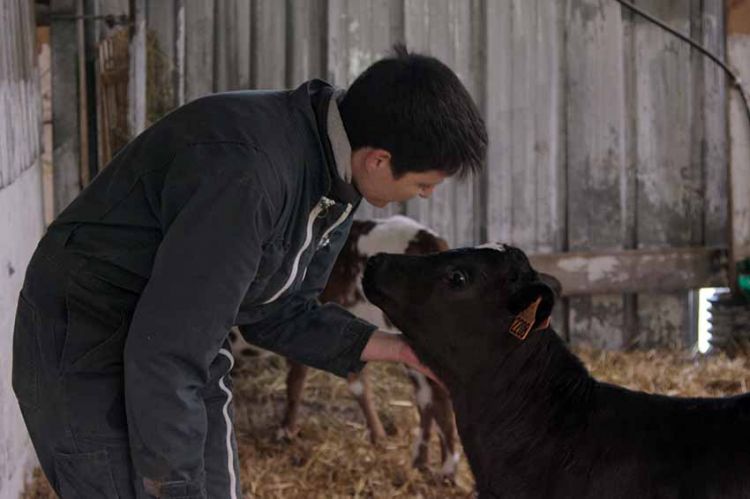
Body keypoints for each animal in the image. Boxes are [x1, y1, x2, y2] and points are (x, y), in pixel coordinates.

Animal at [232, 217, 462, 478]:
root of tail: (430, 238)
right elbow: (347, 384)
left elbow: (295, 382)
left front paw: (285, 432)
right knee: (426, 398)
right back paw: (419, 460)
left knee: (438, 397)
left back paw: (447, 469)